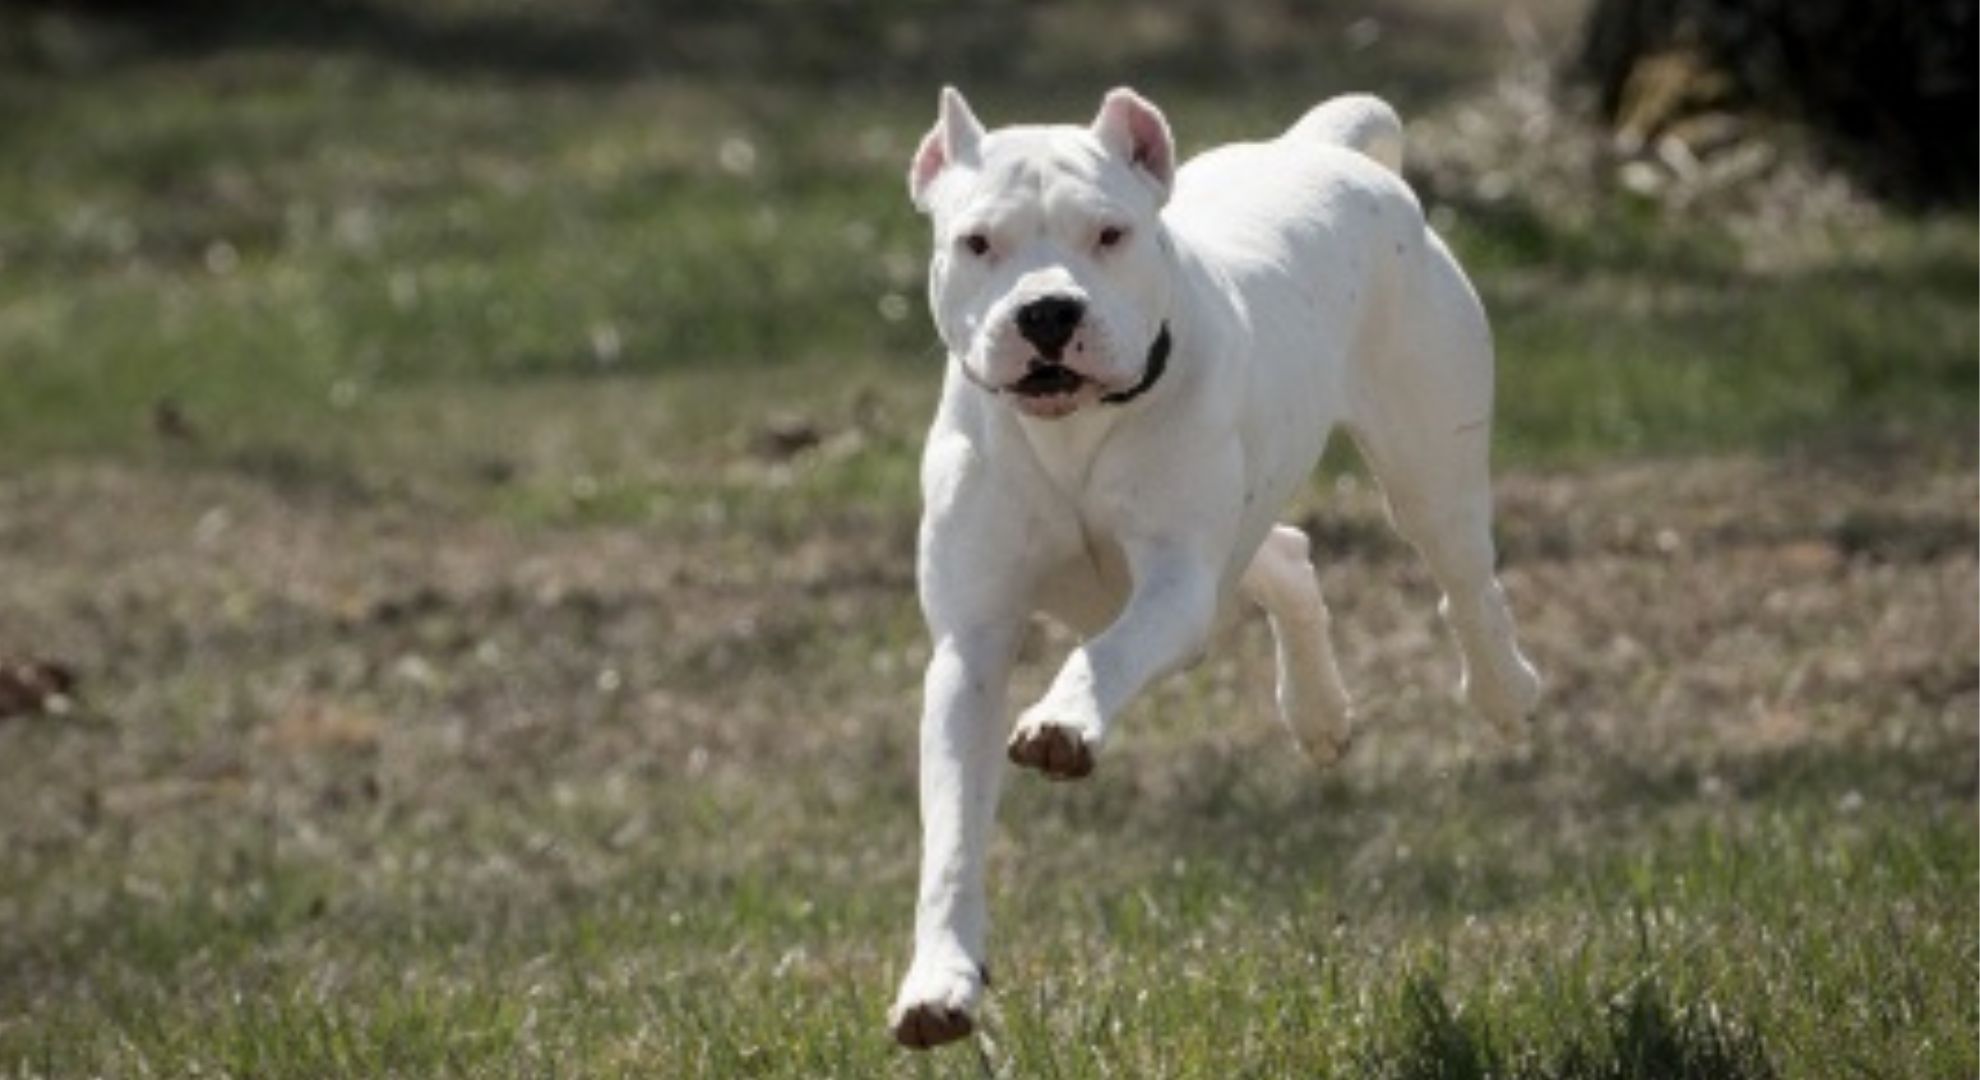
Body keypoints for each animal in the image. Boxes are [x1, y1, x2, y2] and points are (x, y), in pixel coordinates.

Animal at [887, 88, 1544, 1046]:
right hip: (1250, 521)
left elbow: (1107, 653)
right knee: (1289, 556)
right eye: (977, 242)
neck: (1074, 431)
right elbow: (952, 835)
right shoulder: (971, 645)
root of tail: (1326, 149)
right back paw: (1318, 712)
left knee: (1466, 581)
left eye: (1110, 234)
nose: (1047, 312)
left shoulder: (1175, 584)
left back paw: (1503, 692)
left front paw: (1063, 721)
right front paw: (939, 982)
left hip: (1428, 464)